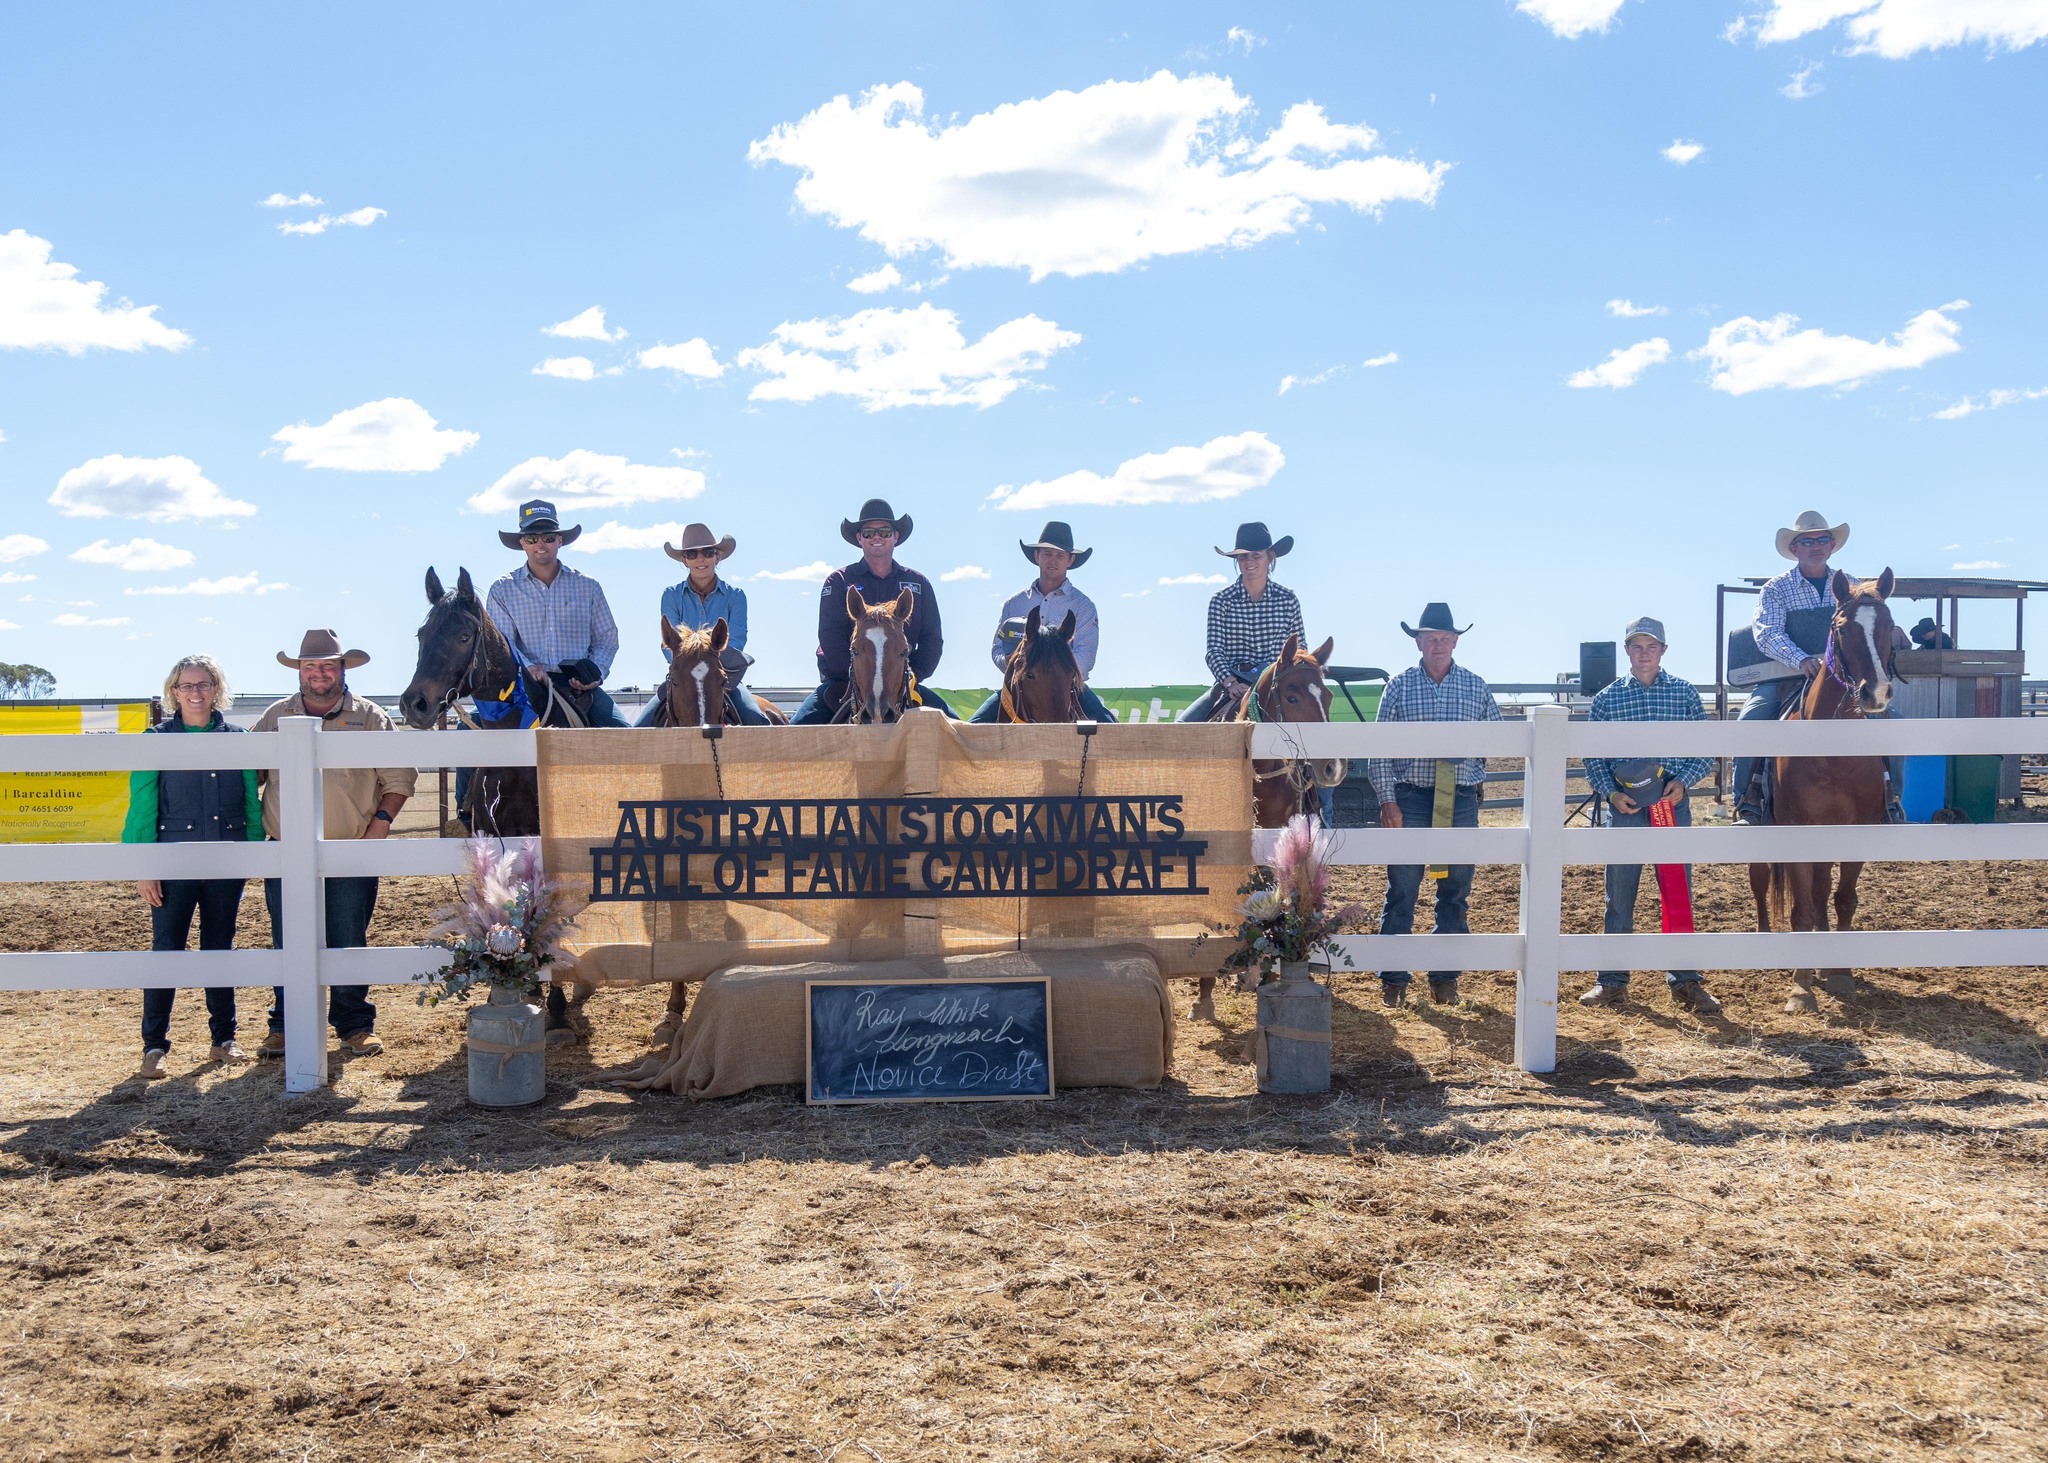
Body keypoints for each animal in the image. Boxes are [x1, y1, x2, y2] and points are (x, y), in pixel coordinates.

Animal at [1747, 568, 1900, 1015]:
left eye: (1889, 627)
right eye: (1842, 628)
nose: (1875, 693)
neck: (1831, 752)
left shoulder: (1856, 831)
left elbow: (1842, 899)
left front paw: (1840, 974)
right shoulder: (1796, 830)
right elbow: (1799, 909)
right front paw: (1800, 989)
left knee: (1819, 888)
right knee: (1762, 882)